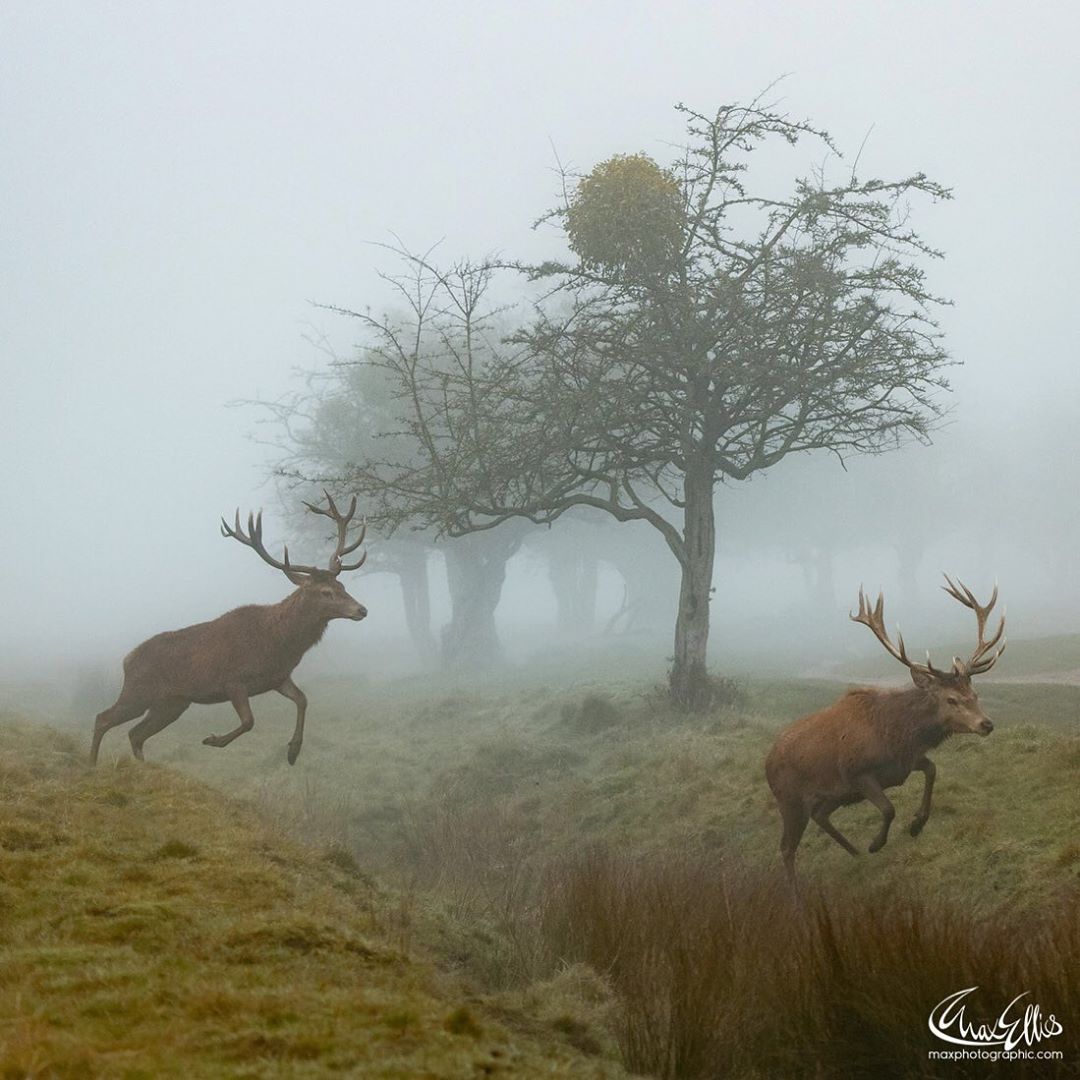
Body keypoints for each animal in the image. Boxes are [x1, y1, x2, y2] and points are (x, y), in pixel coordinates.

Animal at [89, 494, 367, 764]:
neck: (278, 644)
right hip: (138, 691)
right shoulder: (233, 680)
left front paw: (293, 751)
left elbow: (303, 700)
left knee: (135, 733)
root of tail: (127, 659)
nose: (362, 610)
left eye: (342, 586)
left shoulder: (278, 678)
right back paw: (92, 764)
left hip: (172, 703)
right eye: (326, 592)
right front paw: (212, 740)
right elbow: (249, 721)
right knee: (103, 718)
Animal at [768, 574, 1002, 876]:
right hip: (790, 801)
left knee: (820, 815)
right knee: (787, 848)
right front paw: (876, 843)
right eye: (951, 699)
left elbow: (932, 770)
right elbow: (889, 808)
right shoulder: (857, 773)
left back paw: (856, 854)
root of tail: (767, 763)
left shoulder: (904, 762)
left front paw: (917, 824)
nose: (986, 724)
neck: (895, 733)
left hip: (832, 796)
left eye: (975, 694)